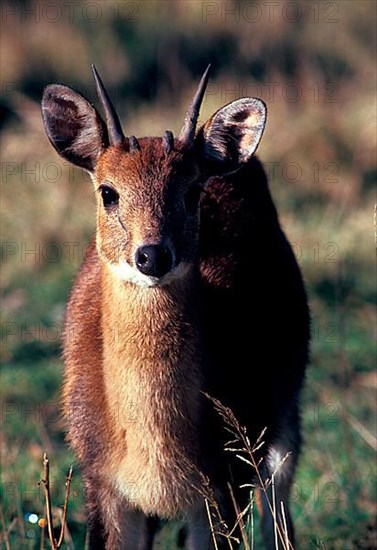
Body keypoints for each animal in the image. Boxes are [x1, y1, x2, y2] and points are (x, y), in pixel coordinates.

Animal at [42, 62, 310, 548]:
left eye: (191, 191)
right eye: (108, 191)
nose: (152, 256)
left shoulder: (225, 482)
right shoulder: (103, 483)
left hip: (282, 412)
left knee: (279, 503)